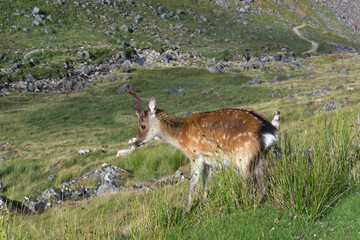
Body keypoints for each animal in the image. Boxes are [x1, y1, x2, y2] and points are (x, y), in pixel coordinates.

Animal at [125, 85, 280, 217]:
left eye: (142, 126)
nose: (137, 142)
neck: (180, 136)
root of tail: (269, 131)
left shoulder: (194, 154)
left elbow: (192, 182)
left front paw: (185, 212)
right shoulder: (208, 160)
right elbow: (205, 181)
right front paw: (206, 203)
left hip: (242, 157)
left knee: (250, 183)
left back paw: (245, 205)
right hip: (260, 156)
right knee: (262, 183)